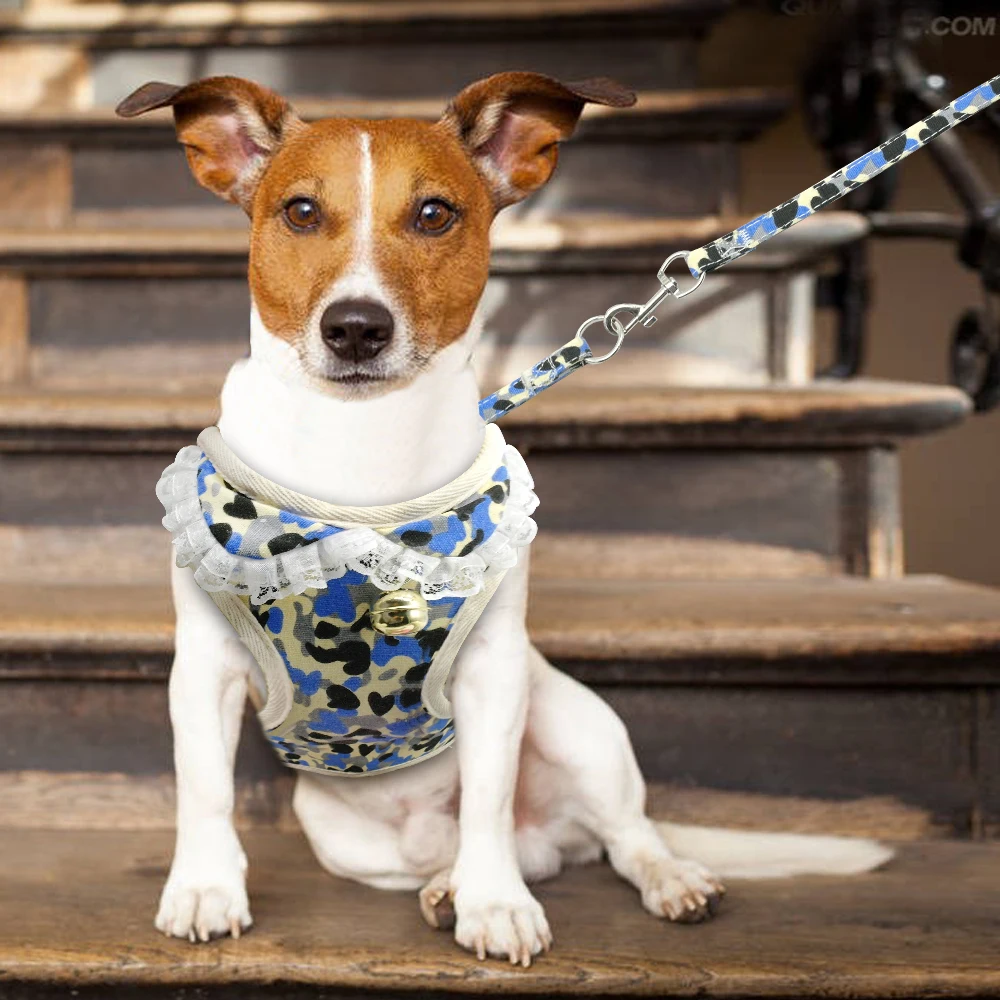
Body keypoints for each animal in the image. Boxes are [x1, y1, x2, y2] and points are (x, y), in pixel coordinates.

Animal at [115, 74, 892, 964]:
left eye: (434, 214)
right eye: (301, 212)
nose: (356, 328)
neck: (361, 447)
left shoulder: (493, 674)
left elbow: (488, 799)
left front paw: (497, 905)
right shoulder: (202, 671)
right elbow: (205, 791)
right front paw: (206, 888)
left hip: (575, 721)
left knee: (621, 834)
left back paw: (658, 880)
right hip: (343, 832)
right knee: (491, 853)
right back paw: (445, 886)